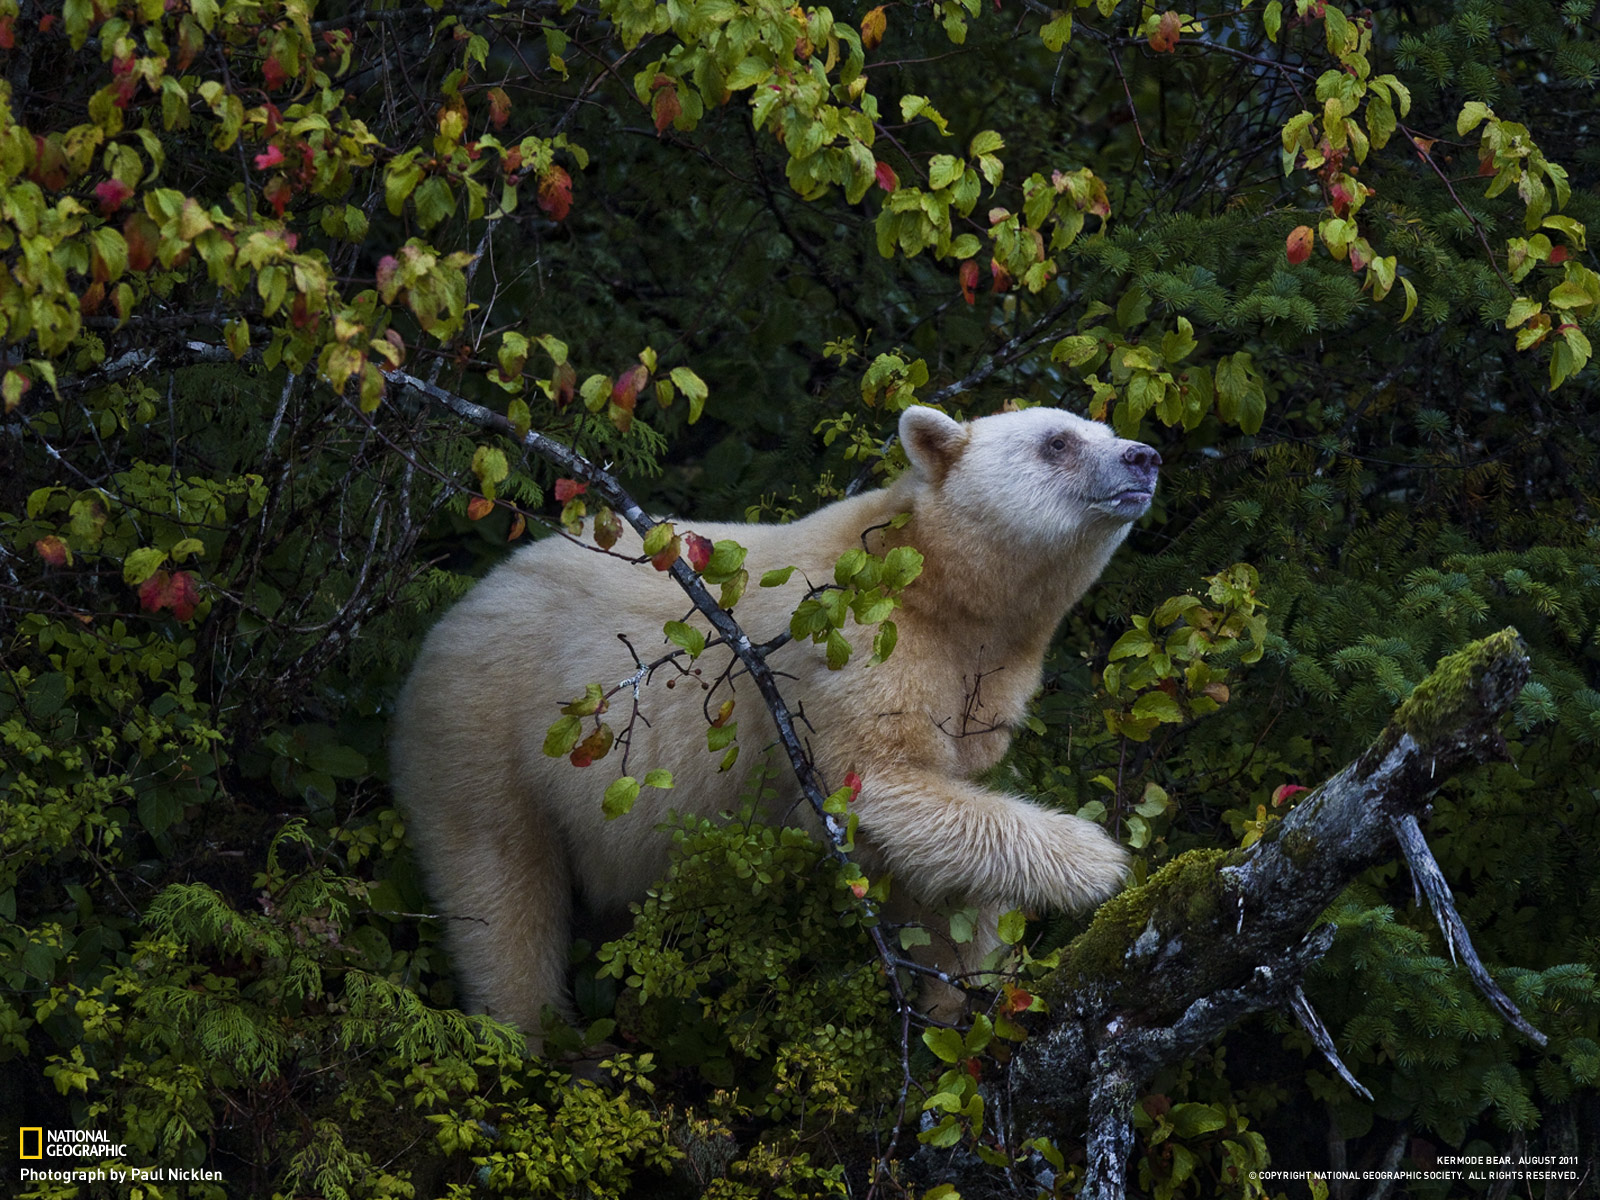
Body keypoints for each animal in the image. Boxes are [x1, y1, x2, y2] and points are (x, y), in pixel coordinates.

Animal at [388, 401, 1164, 1043]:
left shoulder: (983, 686)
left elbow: (938, 848)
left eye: (1102, 429)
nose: (1144, 456)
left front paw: (961, 991)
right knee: (502, 897)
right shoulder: (853, 646)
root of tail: (449, 621)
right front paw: (1098, 862)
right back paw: (539, 1042)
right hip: (486, 733)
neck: (935, 586)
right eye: (1058, 441)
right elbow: (877, 784)